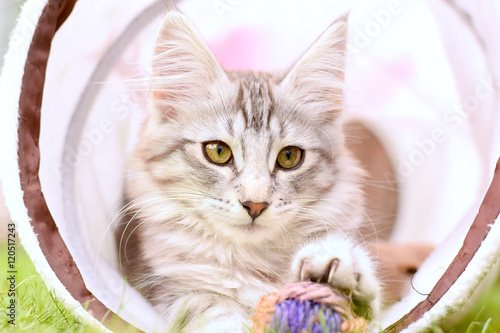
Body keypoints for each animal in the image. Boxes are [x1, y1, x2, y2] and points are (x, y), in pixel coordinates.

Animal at [117, 8, 380, 332]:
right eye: (218, 152)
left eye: (289, 157)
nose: (255, 205)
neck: (253, 259)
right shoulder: (174, 290)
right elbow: (216, 313)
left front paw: (338, 262)